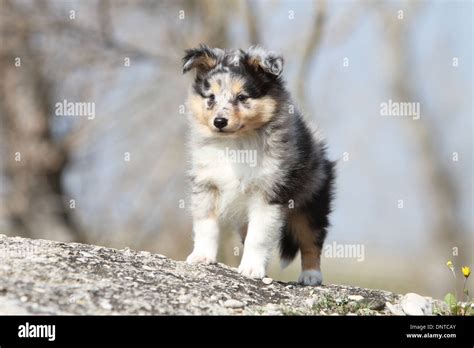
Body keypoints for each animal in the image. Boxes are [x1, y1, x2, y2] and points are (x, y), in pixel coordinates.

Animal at [183, 44, 336, 286]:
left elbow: (259, 237)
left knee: (312, 239)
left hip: (311, 202)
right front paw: (201, 257)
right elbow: (206, 224)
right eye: (211, 97)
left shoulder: (269, 194)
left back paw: (311, 275)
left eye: (242, 97)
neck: (237, 143)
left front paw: (252, 269)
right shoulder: (207, 184)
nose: (219, 122)